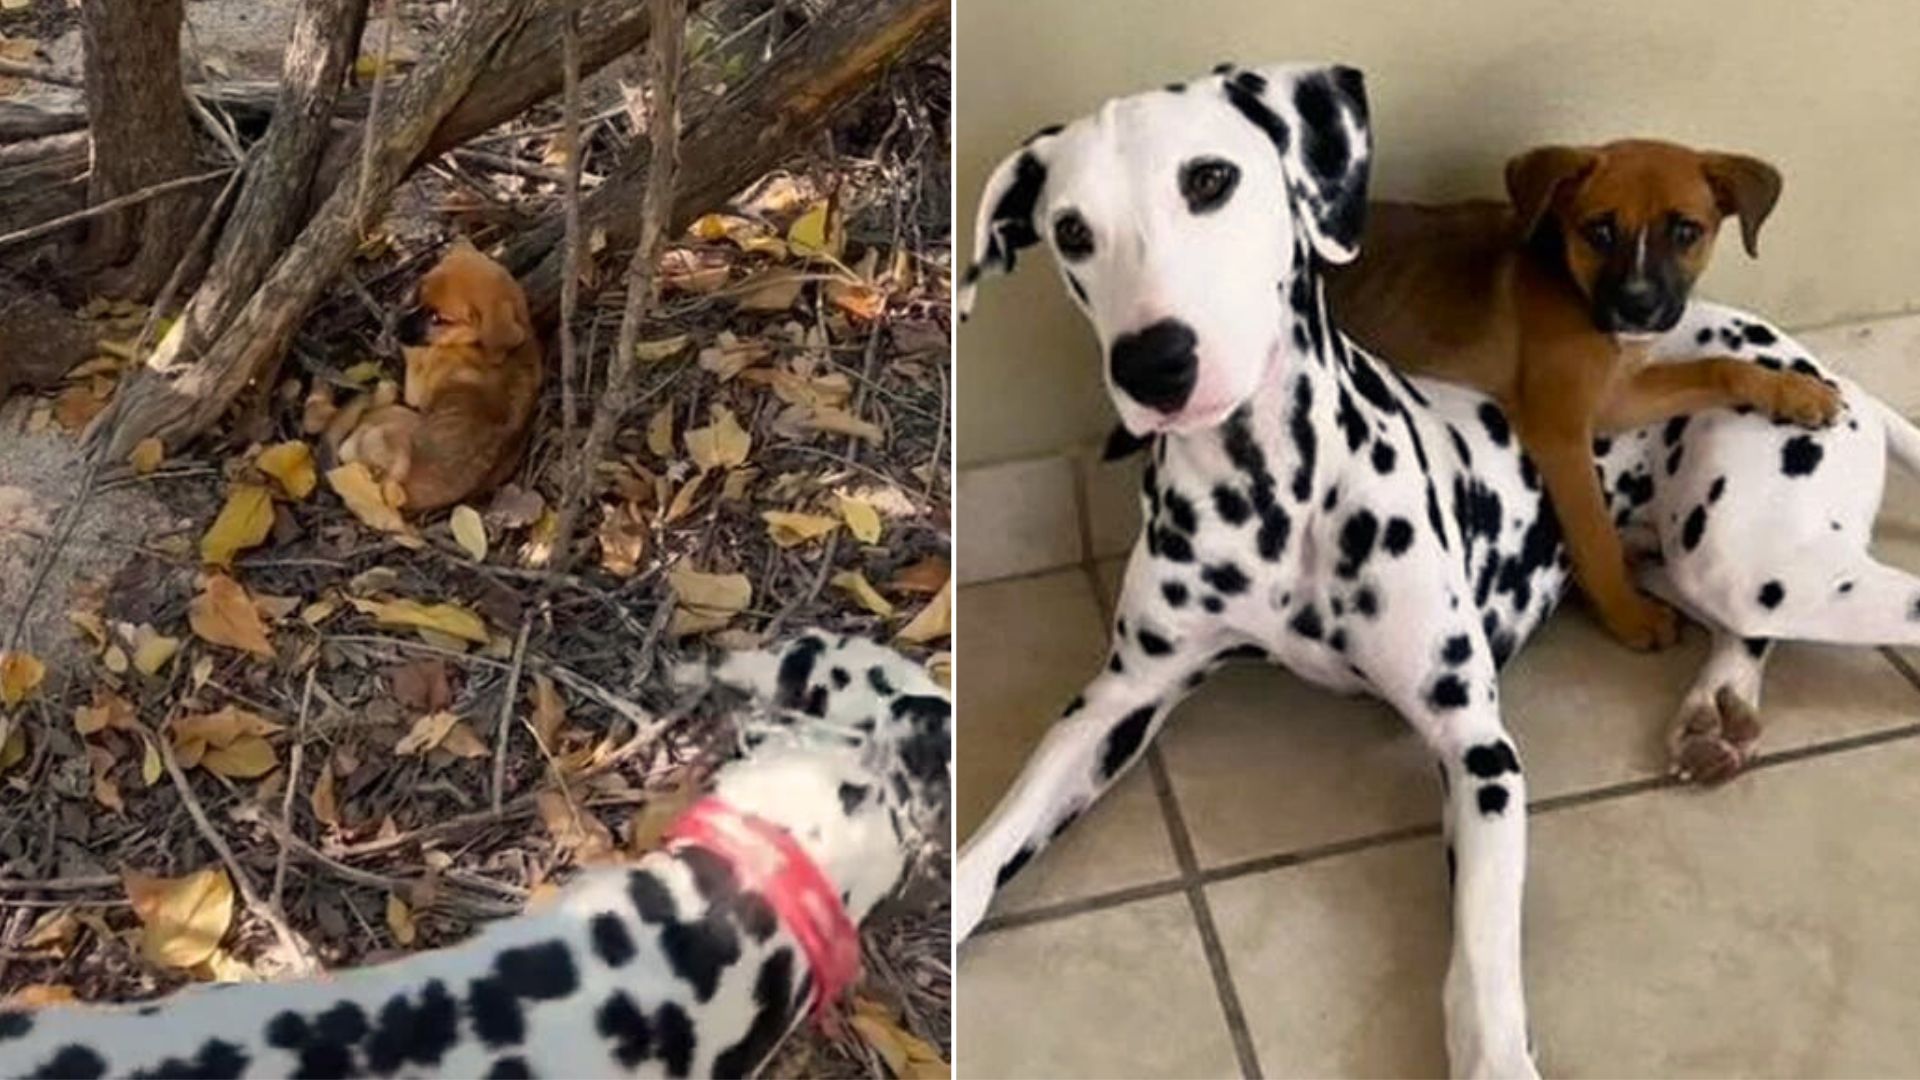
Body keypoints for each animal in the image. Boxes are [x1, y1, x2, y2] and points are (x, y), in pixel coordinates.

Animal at [334, 244, 545, 511]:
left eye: (438, 319)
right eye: (419, 292)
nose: (395, 328)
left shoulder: (415, 386)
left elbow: (415, 354)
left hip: (394, 417)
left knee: (348, 446)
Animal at [1328, 141, 1835, 645]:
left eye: (1686, 231)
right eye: (1600, 231)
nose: (1637, 307)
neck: (1569, 278)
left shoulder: (1616, 397)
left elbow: (1716, 366)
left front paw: (1796, 391)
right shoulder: (1562, 433)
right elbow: (1595, 535)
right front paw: (1629, 614)